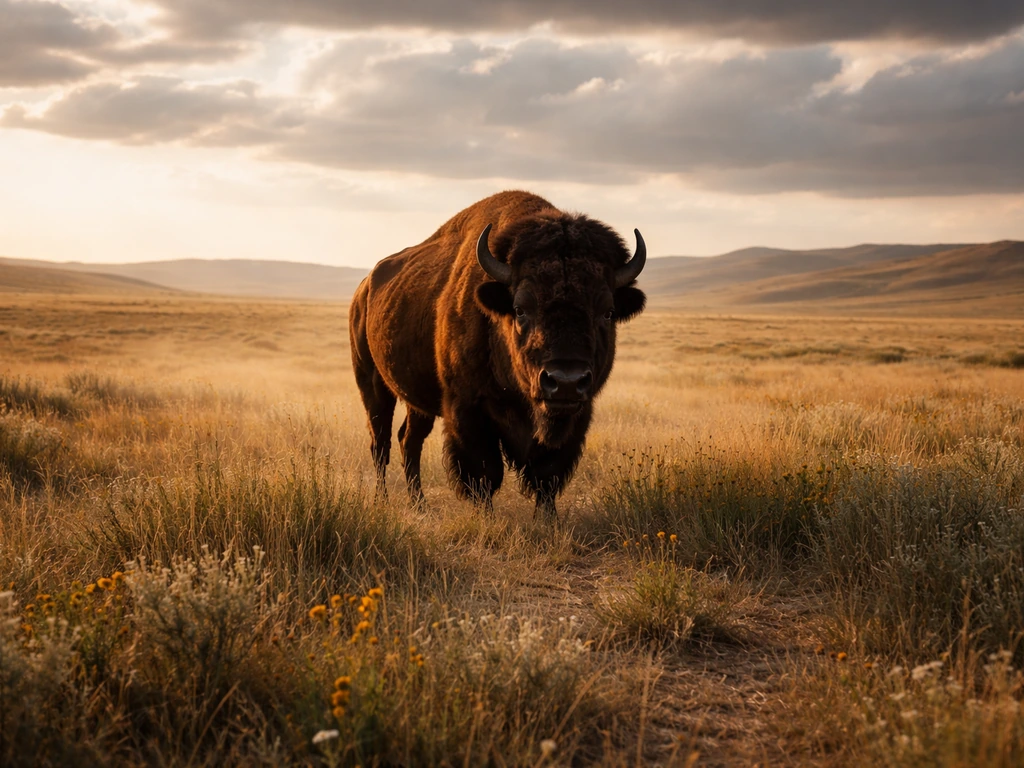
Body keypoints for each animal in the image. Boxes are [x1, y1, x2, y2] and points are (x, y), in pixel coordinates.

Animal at [349, 190, 647, 519]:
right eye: (520, 309)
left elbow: (547, 474)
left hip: (419, 402)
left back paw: (420, 504)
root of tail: (364, 289)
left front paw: (548, 519)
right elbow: (484, 473)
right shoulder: (469, 410)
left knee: (408, 439)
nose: (566, 382)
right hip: (372, 384)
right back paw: (382, 501)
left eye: (607, 312)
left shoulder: (576, 416)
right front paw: (487, 517)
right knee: (380, 442)